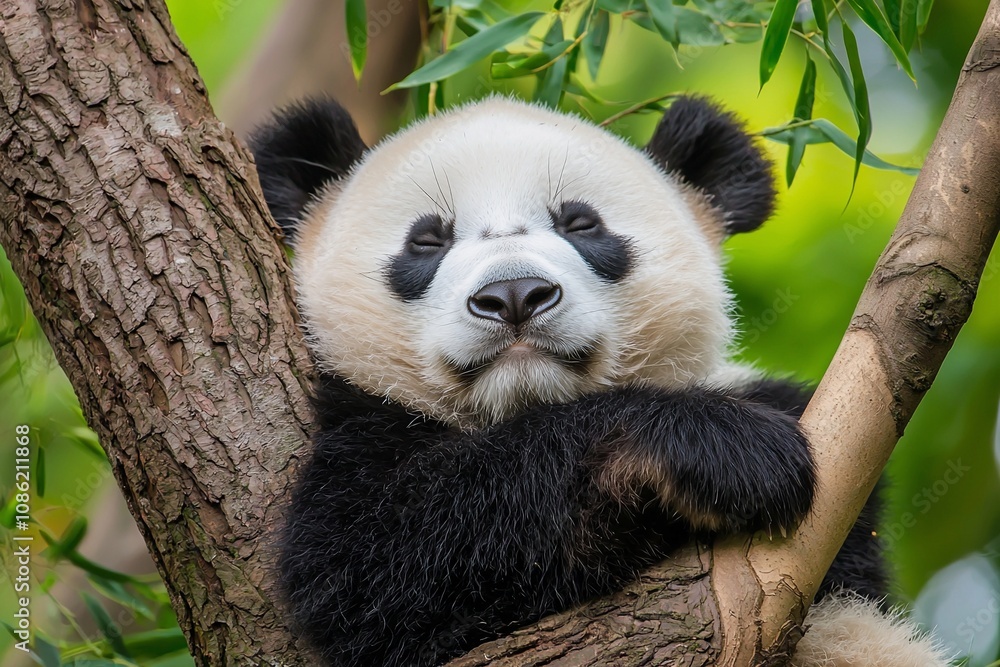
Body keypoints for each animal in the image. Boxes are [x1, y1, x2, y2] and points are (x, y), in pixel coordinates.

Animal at [249, 96, 951, 667]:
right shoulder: (359, 428)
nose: (514, 295)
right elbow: (374, 566)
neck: (527, 405)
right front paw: (726, 452)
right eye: (426, 241)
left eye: (581, 224)